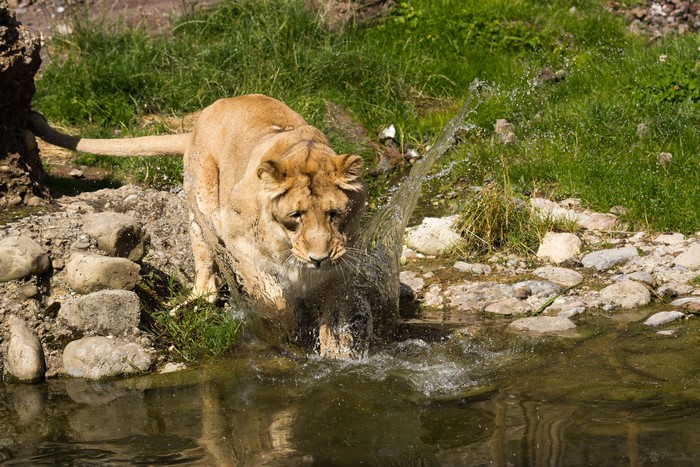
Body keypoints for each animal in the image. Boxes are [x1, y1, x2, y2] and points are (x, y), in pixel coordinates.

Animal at [29, 94, 368, 353]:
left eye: (334, 214)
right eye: (296, 216)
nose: (318, 258)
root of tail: (204, 116)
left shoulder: (337, 266)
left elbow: (334, 320)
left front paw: (336, 355)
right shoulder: (235, 236)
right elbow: (273, 299)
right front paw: (281, 334)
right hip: (203, 201)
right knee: (204, 266)